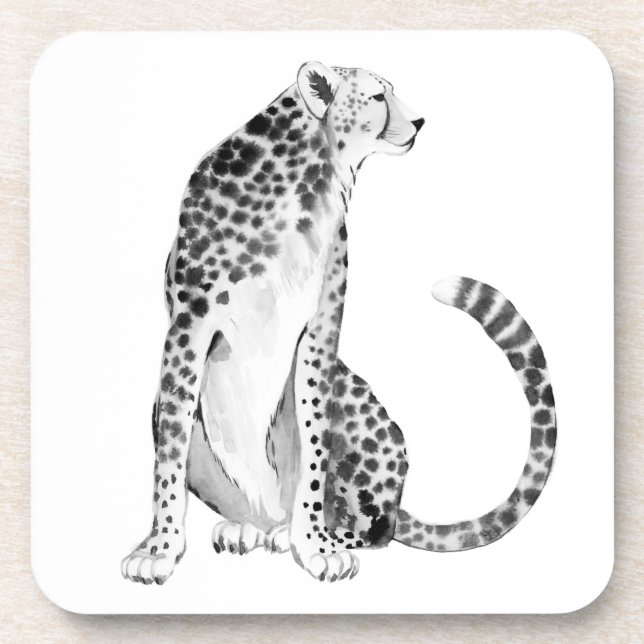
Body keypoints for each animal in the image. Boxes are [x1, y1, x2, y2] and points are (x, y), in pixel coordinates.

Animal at [121, 62, 557, 585]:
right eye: (377, 97)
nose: (420, 121)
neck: (309, 177)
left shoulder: (320, 331)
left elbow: (315, 446)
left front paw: (315, 545)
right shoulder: (188, 327)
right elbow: (170, 448)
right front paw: (159, 548)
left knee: (378, 529)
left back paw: (302, 533)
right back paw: (248, 528)